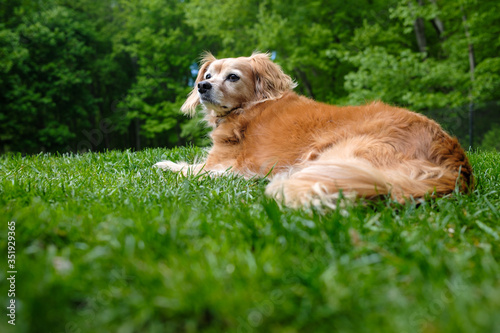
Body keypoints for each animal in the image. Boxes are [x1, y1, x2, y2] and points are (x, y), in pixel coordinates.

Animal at [155, 51, 472, 208]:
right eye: (208, 75)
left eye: (232, 77)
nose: (201, 85)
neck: (249, 106)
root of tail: (456, 165)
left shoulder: (224, 162)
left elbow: (190, 168)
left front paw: (166, 164)